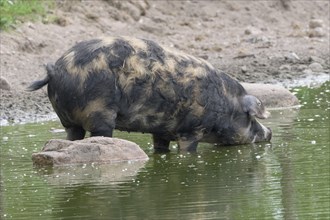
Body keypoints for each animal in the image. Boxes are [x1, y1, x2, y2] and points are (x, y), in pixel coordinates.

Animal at [27, 37, 270, 152]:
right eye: (251, 118)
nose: (270, 133)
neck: (225, 102)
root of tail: (56, 70)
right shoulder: (191, 131)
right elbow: (188, 151)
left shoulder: (161, 130)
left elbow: (160, 148)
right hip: (98, 111)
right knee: (100, 133)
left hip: (68, 119)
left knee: (72, 136)